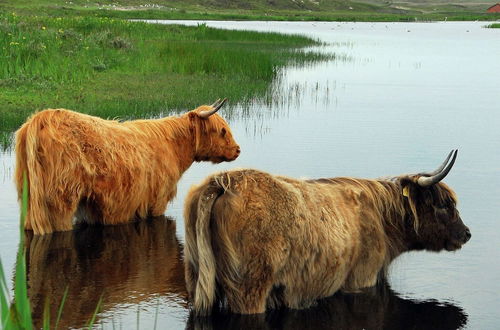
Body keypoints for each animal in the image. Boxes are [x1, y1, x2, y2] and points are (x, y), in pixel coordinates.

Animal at [15, 99, 240, 236]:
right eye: (221, 131)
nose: (237, 150)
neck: (174, 147)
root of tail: (40, 119)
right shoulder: (158, 199)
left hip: (30, 198)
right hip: (61, 199)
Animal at [183, 150, 468, 314]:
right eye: (445, 205)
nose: (467, 233)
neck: (383, 220)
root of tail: (222, 181)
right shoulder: (362, 278)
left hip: (198, 278)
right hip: (250, 287)